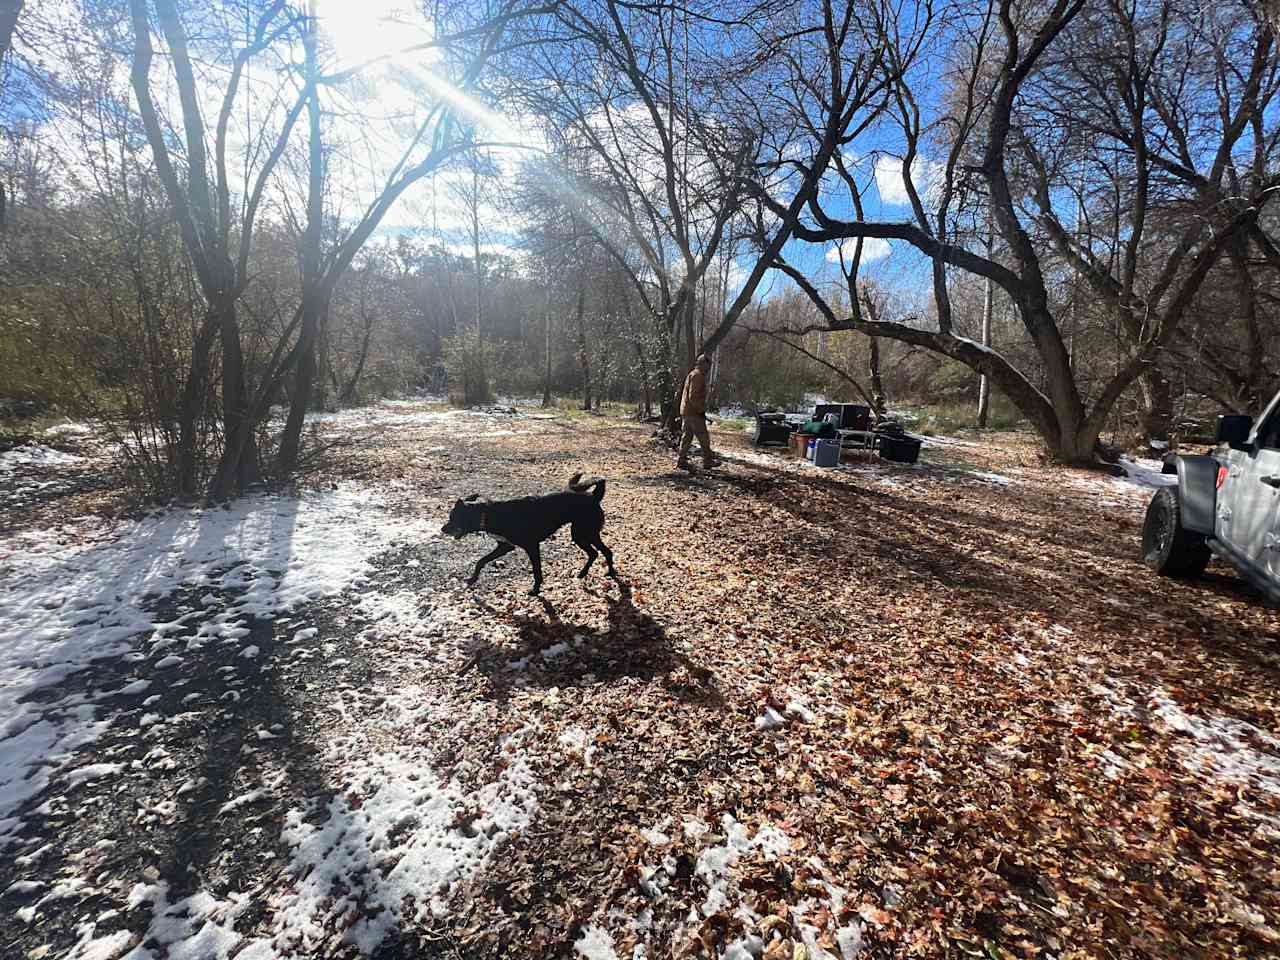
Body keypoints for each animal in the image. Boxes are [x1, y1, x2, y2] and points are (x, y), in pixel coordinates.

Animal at [442, 473, 616, 593]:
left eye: (453, 518)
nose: (442, 529)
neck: (487, 513)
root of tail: (594, 497)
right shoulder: (505, 546)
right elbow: (481, 561)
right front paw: (472, 579)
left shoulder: (532, 546)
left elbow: (537, 570)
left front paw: (536, 589)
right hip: (581, 534)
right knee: (595, 553)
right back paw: (584, 573)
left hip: (584, 533)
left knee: (605, 551)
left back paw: (610, 572)